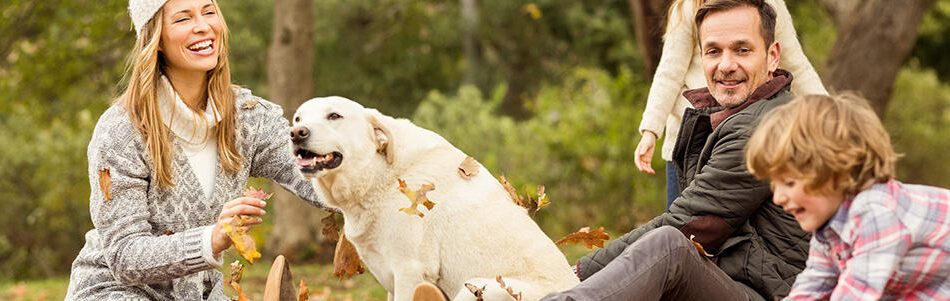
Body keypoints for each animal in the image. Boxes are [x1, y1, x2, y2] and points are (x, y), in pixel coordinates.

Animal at [292, 97, 580, 298]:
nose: (296, 133)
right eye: (296, 118)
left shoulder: (410, 271)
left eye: (334, 116)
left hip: (480, 287)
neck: (381, 175)